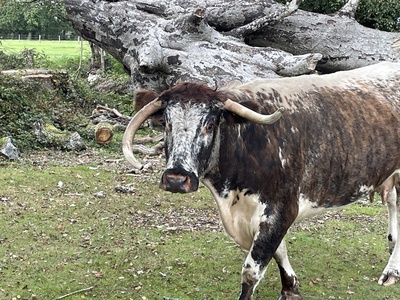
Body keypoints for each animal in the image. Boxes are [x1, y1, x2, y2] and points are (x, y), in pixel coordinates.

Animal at [122, 62, 400, 298]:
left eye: (210, 125)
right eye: (166, 123)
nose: (176, 179)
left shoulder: (281, 209)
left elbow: (251, 270)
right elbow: (280, 251)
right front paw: (290, 288)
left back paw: (391, 271)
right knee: (393, 203)